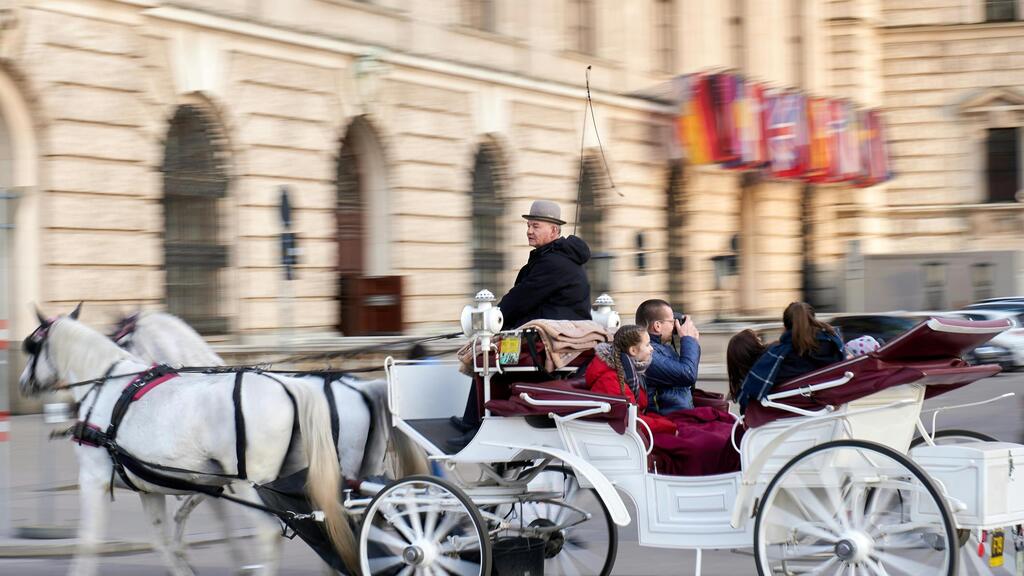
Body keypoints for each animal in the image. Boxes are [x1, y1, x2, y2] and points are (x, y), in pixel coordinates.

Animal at [19, 307, 360, 573]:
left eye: (33, 347)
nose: (23, 383)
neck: (107, 383)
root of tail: (291, 387)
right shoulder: (151, 487)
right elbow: (164, 542)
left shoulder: (94, 477)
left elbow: (89, 541)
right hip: (298, 481)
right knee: (325, 526)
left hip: (251, 486)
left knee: (269, 534)